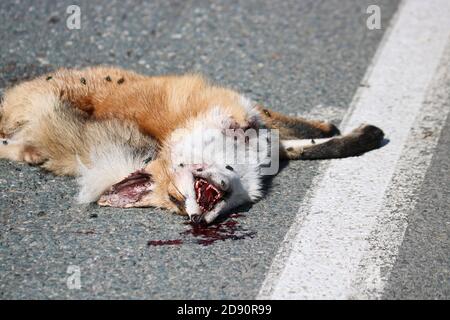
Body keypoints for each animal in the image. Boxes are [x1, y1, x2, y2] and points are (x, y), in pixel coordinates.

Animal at [0, 66, 384, 224]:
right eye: (176, 204)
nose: (194, 219)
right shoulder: (257, 129)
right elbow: (313, 142)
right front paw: (356, 135)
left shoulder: (252, 119)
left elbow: (314, 141)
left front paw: (347, 133)